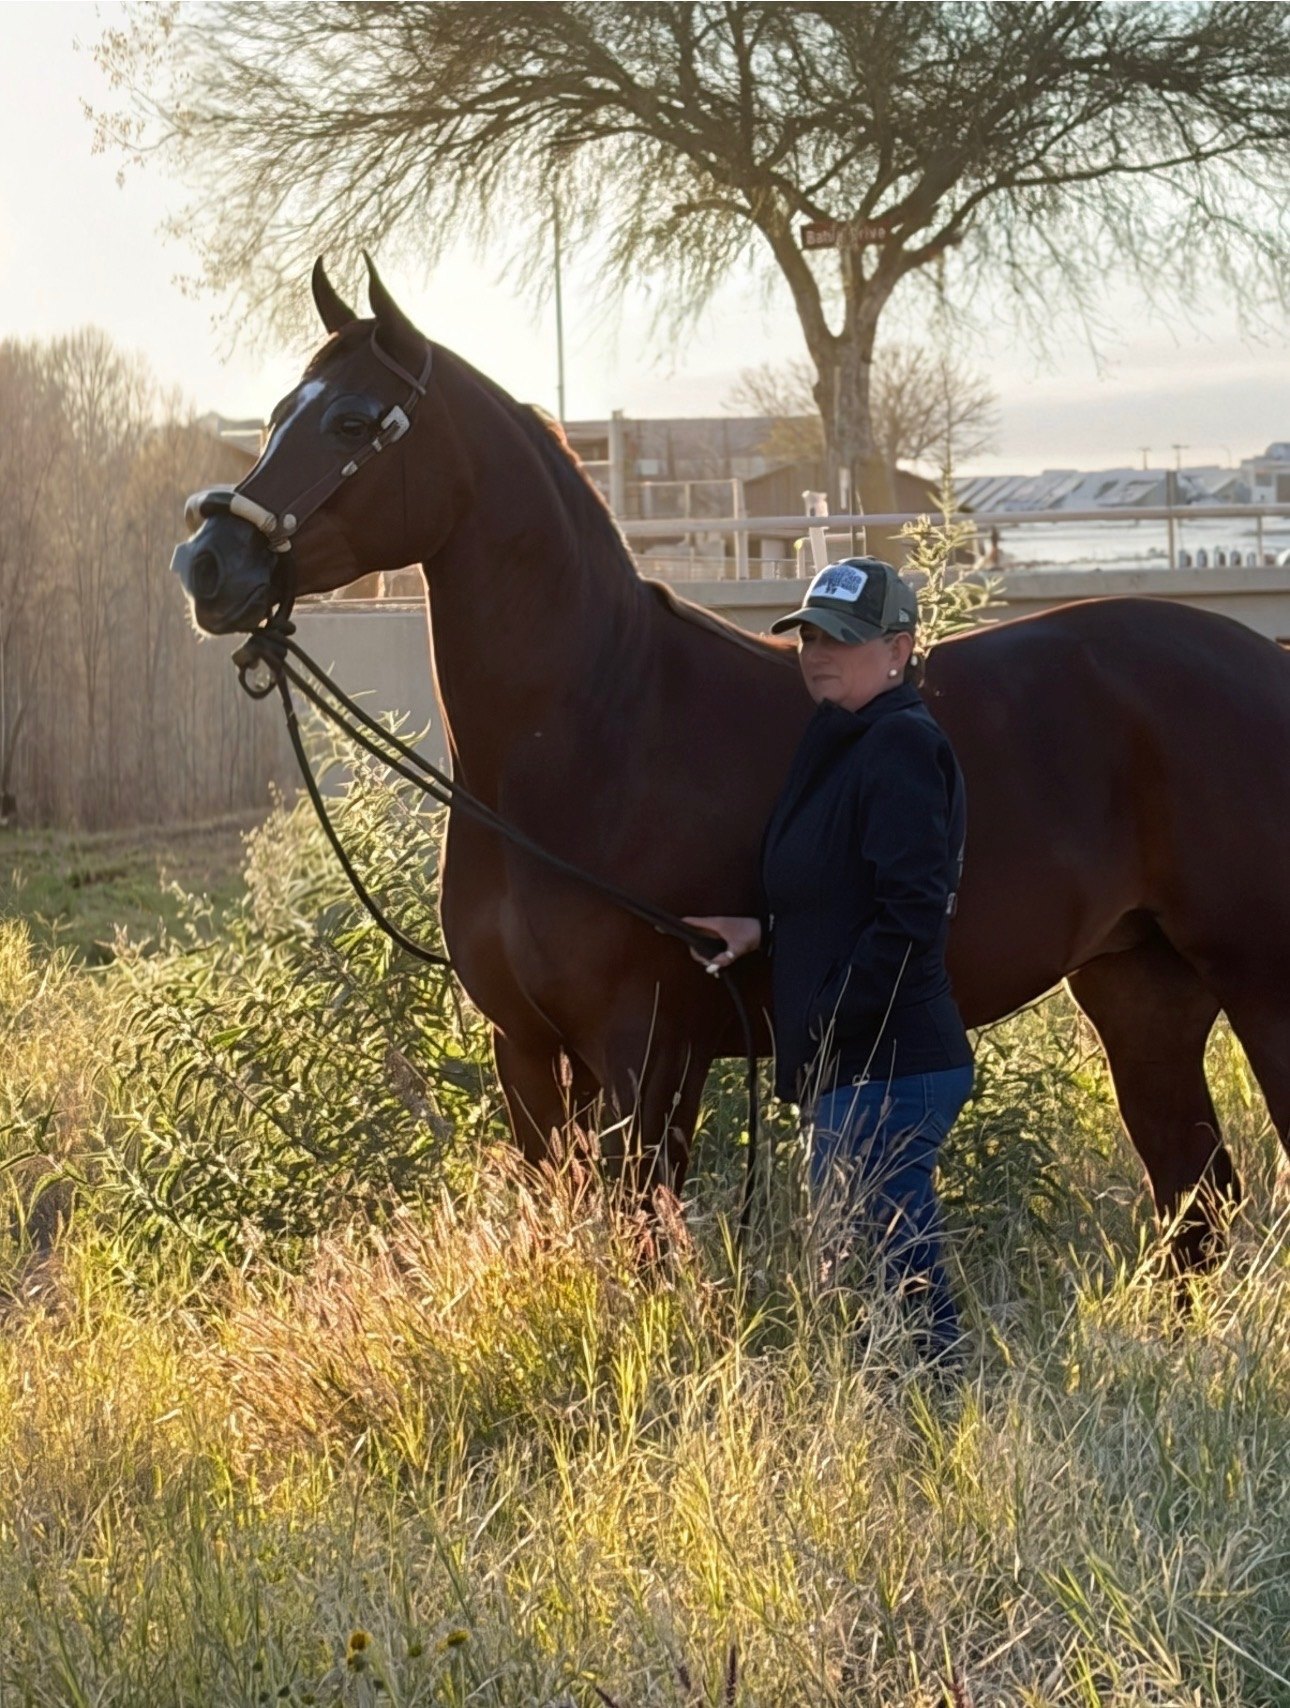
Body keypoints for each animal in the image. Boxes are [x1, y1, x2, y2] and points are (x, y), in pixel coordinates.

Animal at [173, 256, 1290, 1273]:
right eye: (276, 414)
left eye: (353, 422)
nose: (207, 564)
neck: (593, 733)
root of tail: (1261, 657)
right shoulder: (527, 1053)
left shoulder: (645, 1049)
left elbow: (644, 1244)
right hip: (1141, 990)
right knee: (1197, 1201)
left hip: (1258, 978)